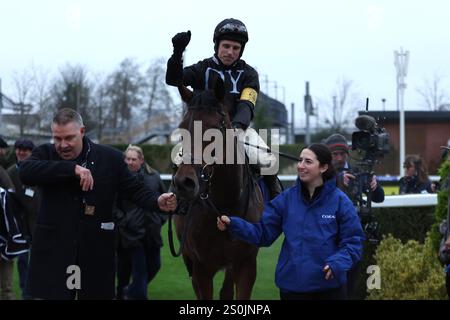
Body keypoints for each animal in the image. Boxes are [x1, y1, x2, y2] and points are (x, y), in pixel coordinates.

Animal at [171, 80, 264, 300]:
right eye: (182, 128)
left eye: (213, 129)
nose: (184, 183)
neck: (226, 204)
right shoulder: (201, 267)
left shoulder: (246, 265)